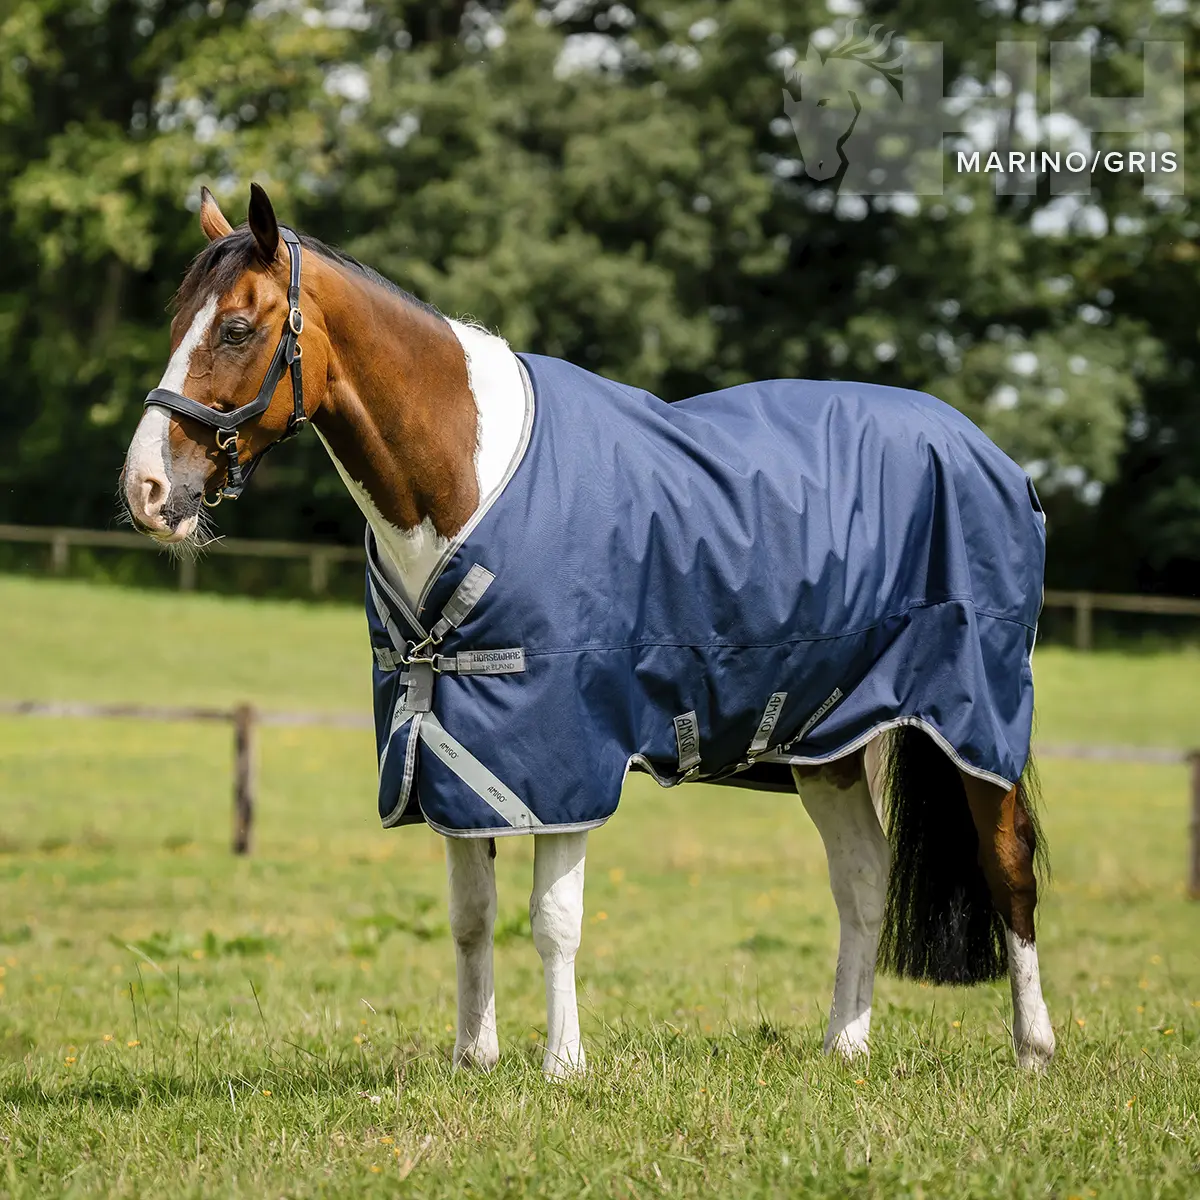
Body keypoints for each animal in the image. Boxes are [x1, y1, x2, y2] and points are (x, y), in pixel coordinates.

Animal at [120, 184, 1055, 1076]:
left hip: (975, 720)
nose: (146, 490)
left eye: (237, 327)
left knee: (1007, 867)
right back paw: (845, 1045)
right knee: (863, 879)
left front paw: (563, 1065)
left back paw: (1032, 1049)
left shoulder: (561, 756)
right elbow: (471, 915)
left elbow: (553, 918)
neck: (466, 477)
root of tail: (989, 453)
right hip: (825, 739)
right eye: (174, 323)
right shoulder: (452, 752)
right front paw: (473, 1058)